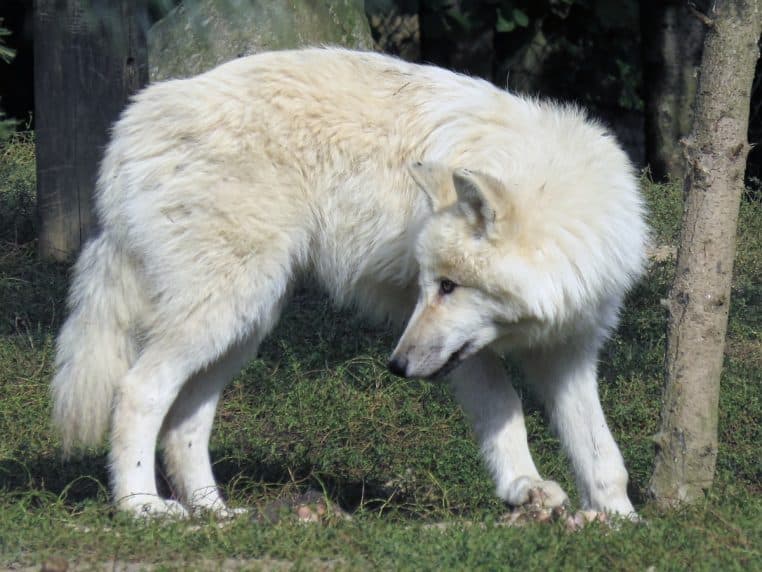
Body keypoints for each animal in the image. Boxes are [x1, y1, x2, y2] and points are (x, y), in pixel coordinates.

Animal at [51, 48, 647, 519]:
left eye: (448, 287)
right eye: (430, 285)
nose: (396, 366)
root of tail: (133, 120)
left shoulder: (569, 351)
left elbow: (601, 452)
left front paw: (618, 521)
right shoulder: (466, 353)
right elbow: (508, 414)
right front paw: (526, 488)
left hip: (243, 326)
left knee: (184, 424)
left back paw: (214, 512)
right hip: (220, 313)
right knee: (138, 390)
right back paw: (142, 507)